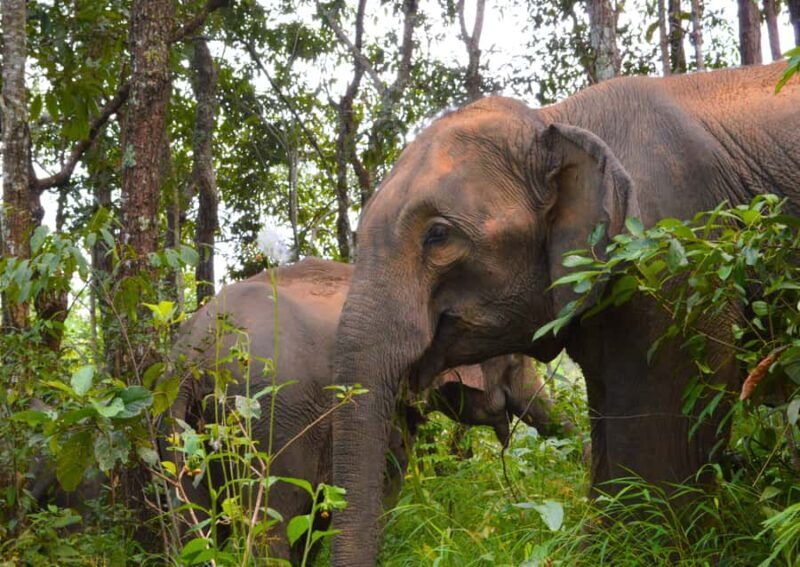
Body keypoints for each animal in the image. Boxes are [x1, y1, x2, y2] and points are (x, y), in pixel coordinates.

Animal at [162, 257, 572, 562]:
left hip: (176, 428)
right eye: (516, 361)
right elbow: (386, 478)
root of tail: (196, 358)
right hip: (270, 422)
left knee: (195, 525)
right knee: (270, 522)